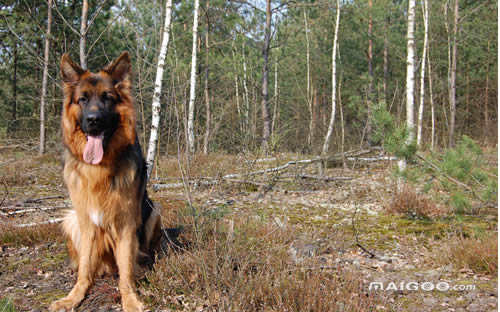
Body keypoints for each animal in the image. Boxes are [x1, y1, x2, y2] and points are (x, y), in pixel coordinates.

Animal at [50, 52, 161, 310]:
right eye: (82, 99)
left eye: (107, 98)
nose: (94, 120)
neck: (99, 168)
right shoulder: (87, 222)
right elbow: (84, 268)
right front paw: (74, 296)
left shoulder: (126, 225)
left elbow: (126, 272)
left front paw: (130, 299)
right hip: (71, 220)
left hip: (153, 210)